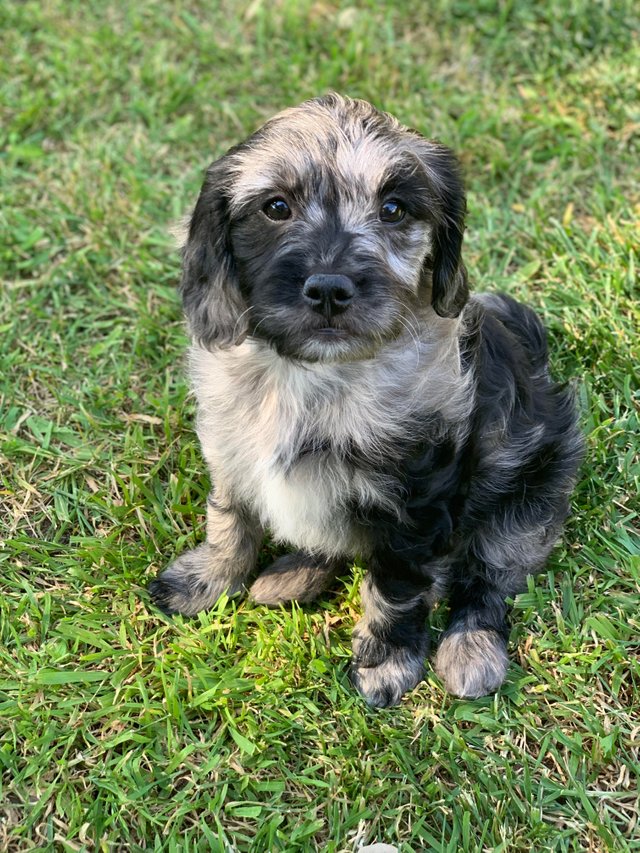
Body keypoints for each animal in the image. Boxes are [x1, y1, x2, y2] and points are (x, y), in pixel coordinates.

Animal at [149, 95, 580, 704]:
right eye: (276, 207)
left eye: (394, 209)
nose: (329, 289)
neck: (315, 376)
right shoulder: (232, 451)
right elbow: (230, 519)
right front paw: (207, 581)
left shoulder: (415, 504)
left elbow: (395, 589)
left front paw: (385, 661)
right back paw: (292, 574)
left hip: (528, 503)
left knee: (489, 579)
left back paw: (471, 648)